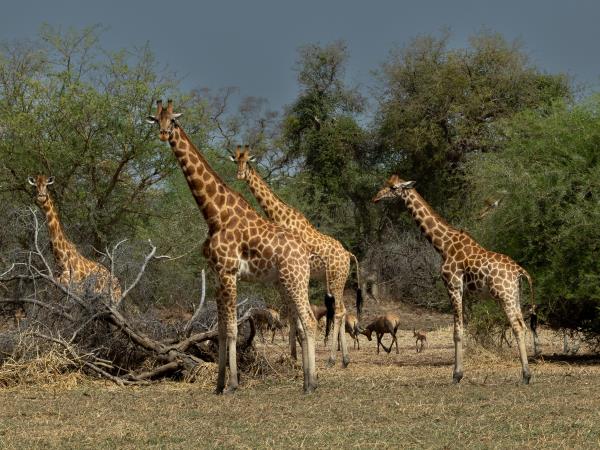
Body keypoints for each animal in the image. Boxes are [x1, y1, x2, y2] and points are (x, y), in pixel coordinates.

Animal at [27, 174, 121, 304]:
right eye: (35, 186)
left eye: (46, 185)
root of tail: (119, 287)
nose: (41, 197)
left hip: (111, 301)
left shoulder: (74, 291)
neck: (62, 262)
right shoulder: (56, 288)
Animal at [146, 100, 318, 392]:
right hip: (286, 282)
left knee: (310, 320)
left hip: (294, 279)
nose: (163, 134)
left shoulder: (228, 273)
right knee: (302, 323)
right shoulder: (217, 275)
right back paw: (308, 380)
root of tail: (305, 252)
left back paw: (311, 383)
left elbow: (233, 330)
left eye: (174, 120)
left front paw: (234, 384)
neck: (214, 215)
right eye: (157, 119)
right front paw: (218, 385)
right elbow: (221, 329)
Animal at [232, 146, 364, 368]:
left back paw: (332, 359)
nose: (240, 175)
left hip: (336, 279)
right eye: (236, 161)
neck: (281, 217)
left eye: (248, 161)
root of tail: (348, 254)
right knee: (343, 310)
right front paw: (295, 356)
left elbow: (294, 313)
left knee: (338, 311)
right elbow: (293, 314)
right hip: (338, 280)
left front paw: (297, 357)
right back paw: (344, 359)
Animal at [372, 175, 536, 384]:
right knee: (522, 326)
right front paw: (458, 373)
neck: (444, 245)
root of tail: (520, 271)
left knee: (517, 327)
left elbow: (457, 332)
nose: (375, 198)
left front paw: (457, 375)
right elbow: (461, 328)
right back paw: (527, 374)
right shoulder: (463, 291)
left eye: (393, 188)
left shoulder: (452, 285)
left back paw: (526, 376)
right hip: (514, 295)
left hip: (504, 295)